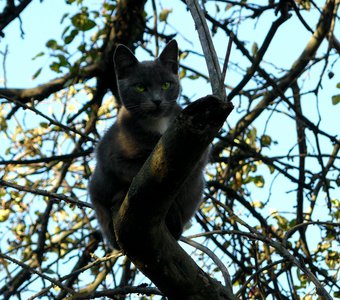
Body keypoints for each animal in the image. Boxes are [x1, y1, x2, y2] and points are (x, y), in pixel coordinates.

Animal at [89, 39, 209, 248]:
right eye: (140, 87)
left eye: (166, 84)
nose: (157, 100)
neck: (157, 125)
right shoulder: (112, 158)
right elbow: (132, 171)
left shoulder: (199, 157)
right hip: (97, 188)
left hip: (198, 187)